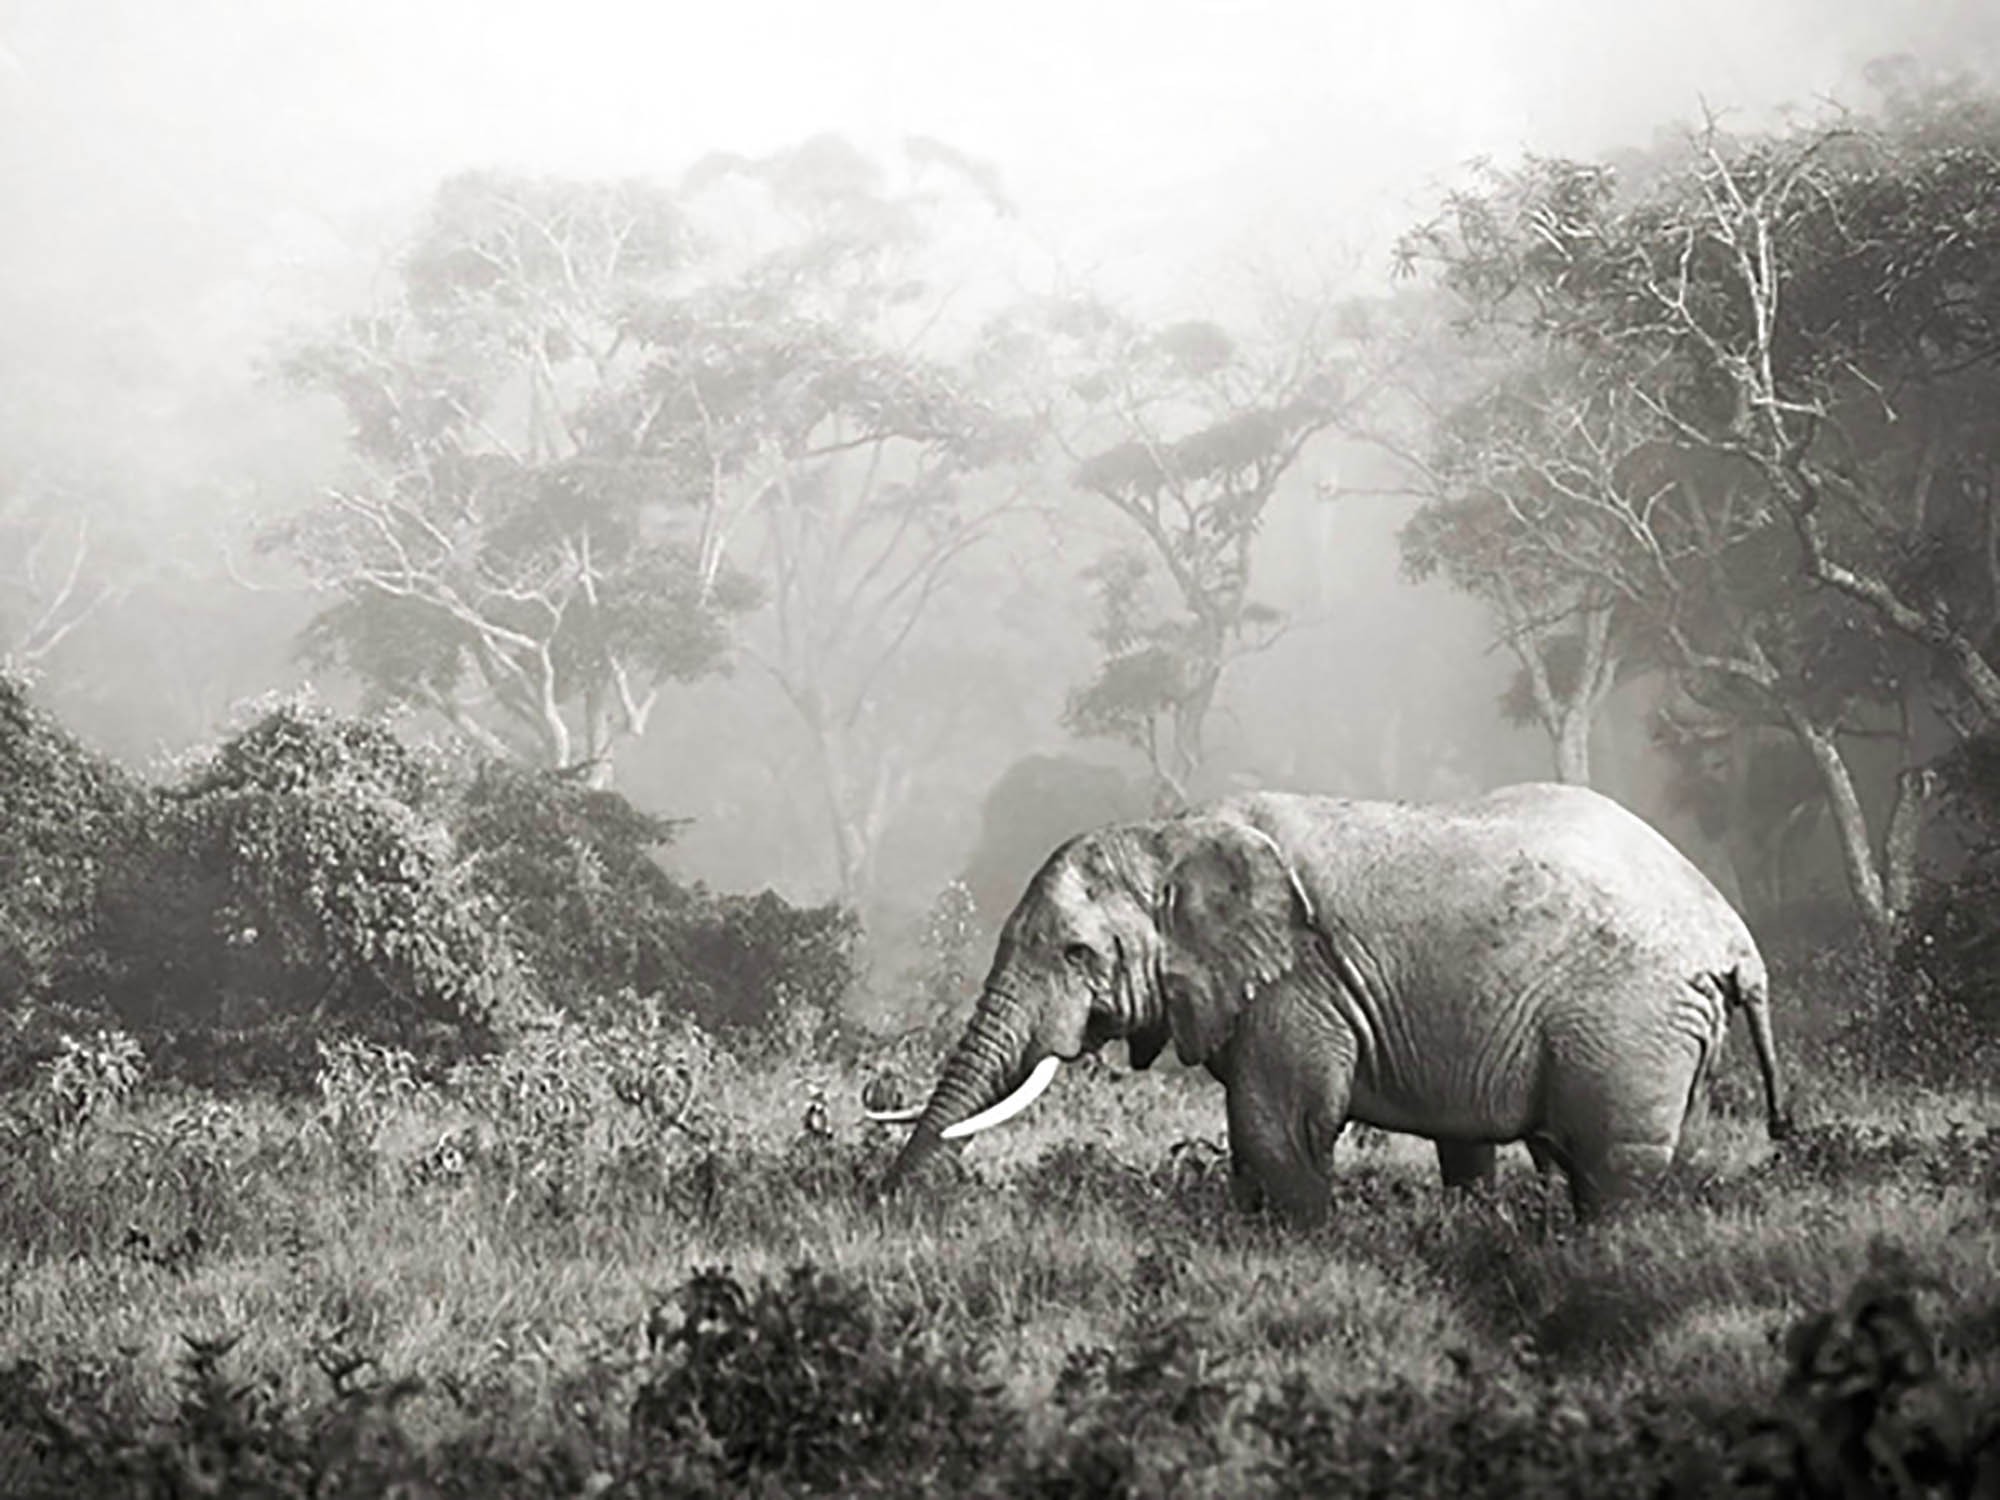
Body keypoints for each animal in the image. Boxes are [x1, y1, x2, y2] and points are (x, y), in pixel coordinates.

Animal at [871, 784, 1790, 1225]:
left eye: (1076, 954)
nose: (884, 1204)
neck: (1171, 832)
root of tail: (1735, 938)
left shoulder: (1300, 984)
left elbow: (1278, 1129)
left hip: (1631, 1022)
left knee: (1610, 1170)